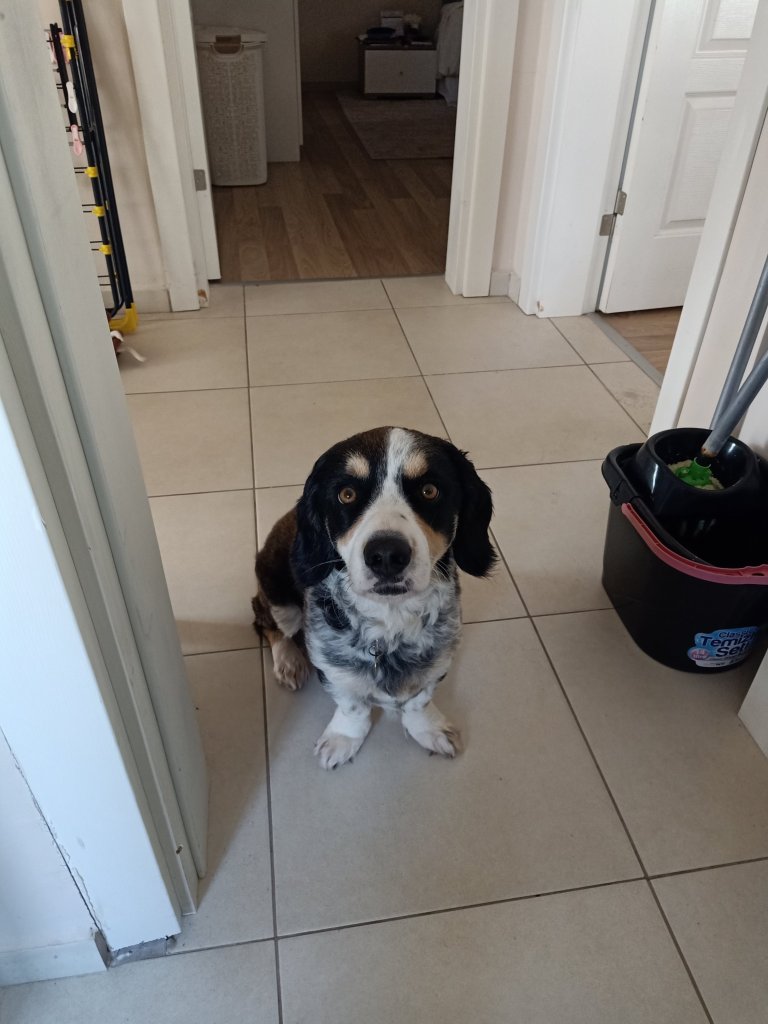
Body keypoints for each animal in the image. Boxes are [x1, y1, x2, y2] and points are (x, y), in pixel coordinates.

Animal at [252, 426, 496, 769]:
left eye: (430, 490)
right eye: (347, 494)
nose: (387, 555)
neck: (390, 621)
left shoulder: (438, 660)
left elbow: (419, 701)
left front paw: (429, 729)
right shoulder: (331, 667)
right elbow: (352, 705)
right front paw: (343, 739)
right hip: (278, 595)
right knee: (265, 621)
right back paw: (288, 662)